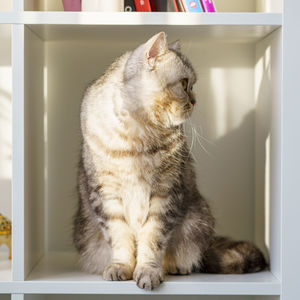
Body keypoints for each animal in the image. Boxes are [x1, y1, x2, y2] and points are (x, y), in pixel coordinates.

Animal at [73, 31, 268, 290]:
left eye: (193, 85)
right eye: (185, 84)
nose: (195, 100)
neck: (139, 134)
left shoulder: (165, 192)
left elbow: (152, 241)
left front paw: (148, 271)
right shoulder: (106, 194)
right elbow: (120, 239)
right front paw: (121, 267)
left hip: (198, 220)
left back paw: (178, 267)